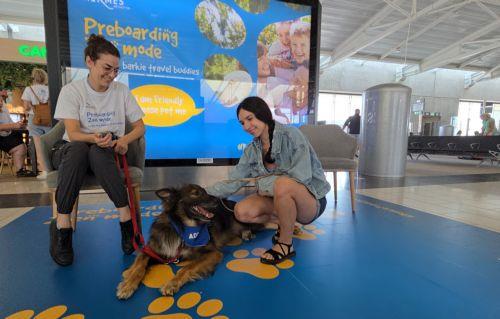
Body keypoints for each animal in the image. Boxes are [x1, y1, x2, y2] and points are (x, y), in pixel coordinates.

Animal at [117, 184, 254, 298]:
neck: (182, 228)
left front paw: (171, 284)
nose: (218, 200)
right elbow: (139, 265)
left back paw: (247, 233)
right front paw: (128, 284)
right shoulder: (153, 250)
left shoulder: (213, 253)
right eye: (195, 193)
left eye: (205, 191)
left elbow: (186, 268)